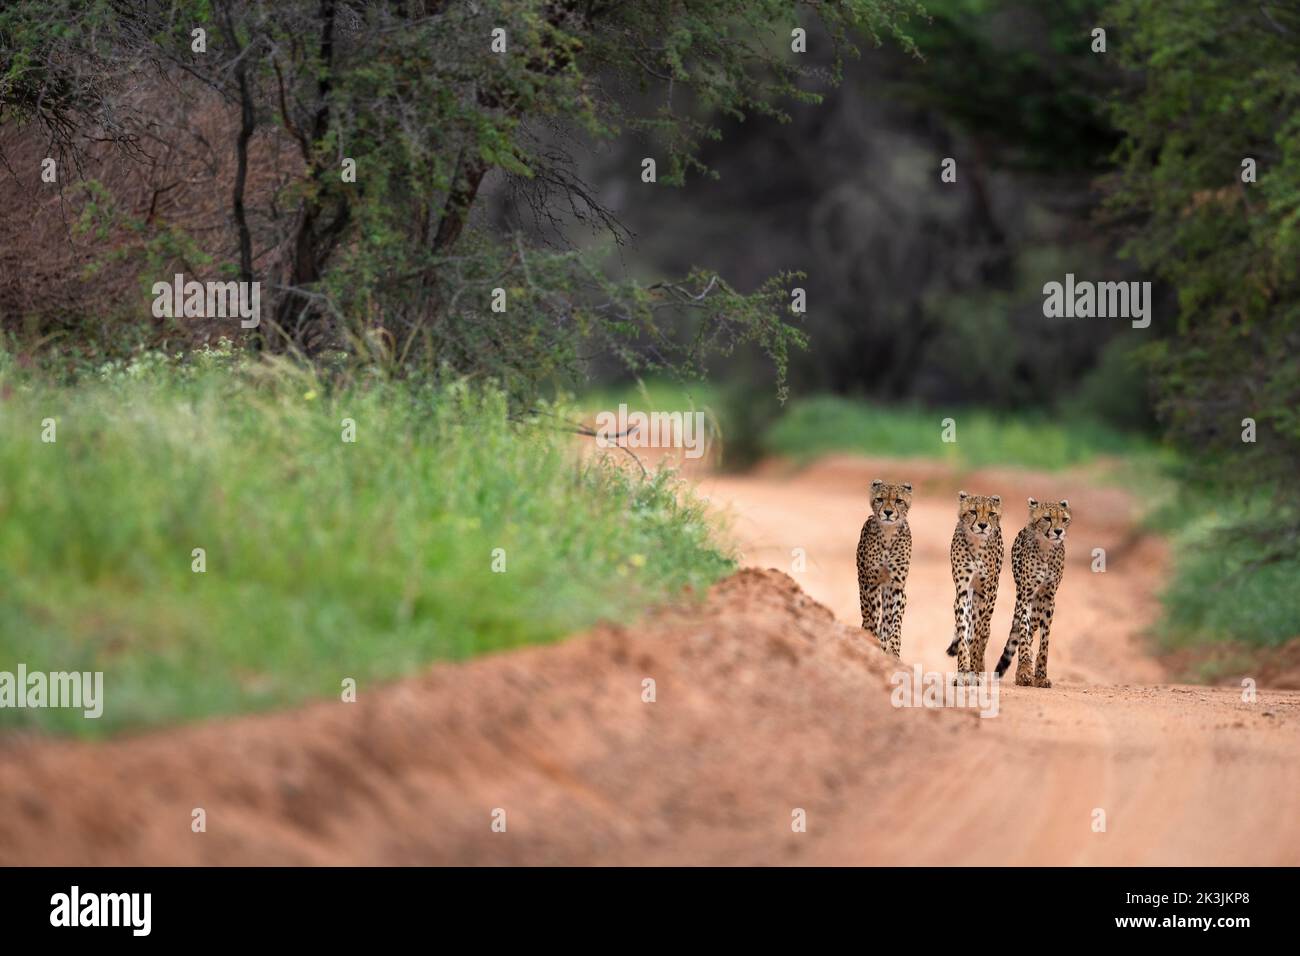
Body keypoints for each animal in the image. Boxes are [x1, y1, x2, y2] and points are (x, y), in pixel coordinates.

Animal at [852, 478, 915, 658]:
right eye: (879, 499)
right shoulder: (872, 583)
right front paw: (874, 640)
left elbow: (894, 620)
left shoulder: (897, 586)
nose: (887, 512)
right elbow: (874, 613)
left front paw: (892, 647)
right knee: (868, 614)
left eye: (898, 501)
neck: (888, 533)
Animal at [946, 489, 1003, 686]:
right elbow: (964, 633)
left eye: (991, 513)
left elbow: (977, 637)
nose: (983, 525)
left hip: (992, 596)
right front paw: (963, 671)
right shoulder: (963, 592)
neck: (977, 543)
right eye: (973, 511)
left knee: (985, 631)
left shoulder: (984, 595)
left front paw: (974, 672)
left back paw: (979, 668)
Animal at [993, 502, 1066, 686]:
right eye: (1047, 518)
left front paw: (1040, 675)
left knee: (1032, 628)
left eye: (1064, 519)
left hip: (1038, 604)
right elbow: (1023, 634)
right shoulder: (1025, 595)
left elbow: (1044, 640)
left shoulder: (1049, 598)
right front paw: (1025, 672)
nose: (1058, 531)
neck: (1046, 548)